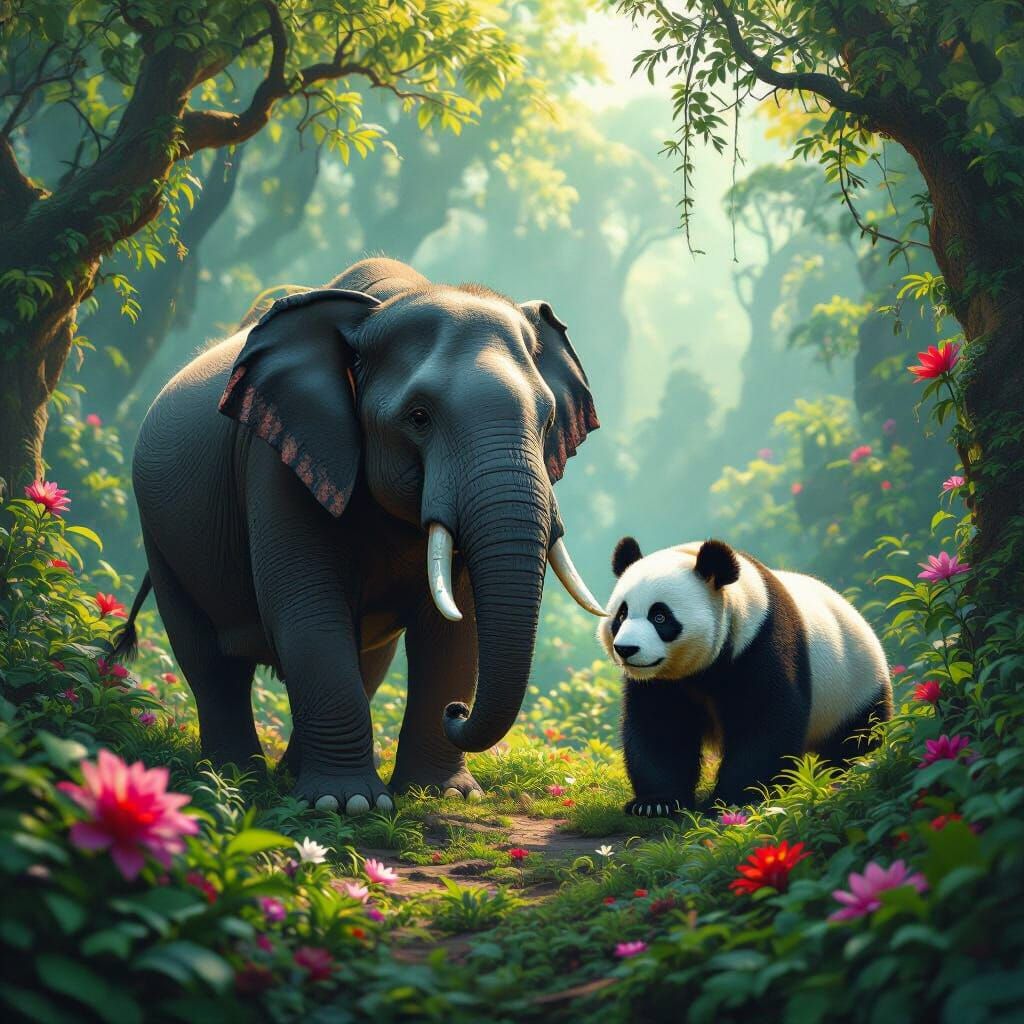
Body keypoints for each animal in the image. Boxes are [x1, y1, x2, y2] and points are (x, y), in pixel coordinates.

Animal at [116, 258, 604, 814]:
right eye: (419, 417)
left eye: (548, 420)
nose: (457, 711)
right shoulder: (278, 456)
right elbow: (306, 608)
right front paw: (344, 805)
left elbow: (456, 627)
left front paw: (442, 795)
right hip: (159, 533)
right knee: (209, 661)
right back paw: (234, 780)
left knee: (364, 661)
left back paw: (285, 777)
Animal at [598, 536, 893, 816]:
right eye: (621, 615)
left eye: (660, 616)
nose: (626, 649)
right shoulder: (660, 681)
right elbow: (660, 727)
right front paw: (656, 803)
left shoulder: (760, 642)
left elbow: (765, 721)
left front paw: (733, 799)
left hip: (855, 685)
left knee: (857, 736)